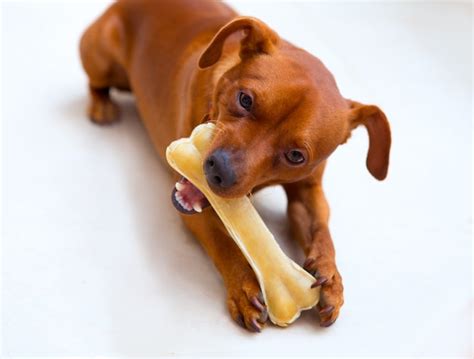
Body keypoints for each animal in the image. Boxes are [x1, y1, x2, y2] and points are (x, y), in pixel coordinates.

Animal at [79, 0, 390, 334]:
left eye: (296, 156)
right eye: (245, 99)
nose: (219, 170)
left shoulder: (308, 191)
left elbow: (322, 229)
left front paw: (331, 275)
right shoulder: (196, 213)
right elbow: (224, 243)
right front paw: (243, 286)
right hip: (102, 61)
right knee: (96, 84)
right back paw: (101, 106)